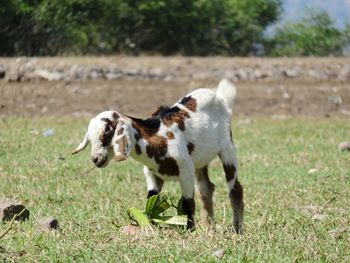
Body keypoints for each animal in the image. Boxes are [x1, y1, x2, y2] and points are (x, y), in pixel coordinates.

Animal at [72, 79, 245, 234]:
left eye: (107, 131)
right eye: (90, 136)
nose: (96, 159)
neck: (158, 137)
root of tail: (220, 97)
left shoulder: (186, 171)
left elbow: (187, 203)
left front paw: (189, 230)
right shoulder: (152, 174)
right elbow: (151, 202)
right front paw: (150, 226)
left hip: (227, 149)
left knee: (235, 189)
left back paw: (236, 229)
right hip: (200, 162)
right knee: (206, 189)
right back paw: (208, 228)